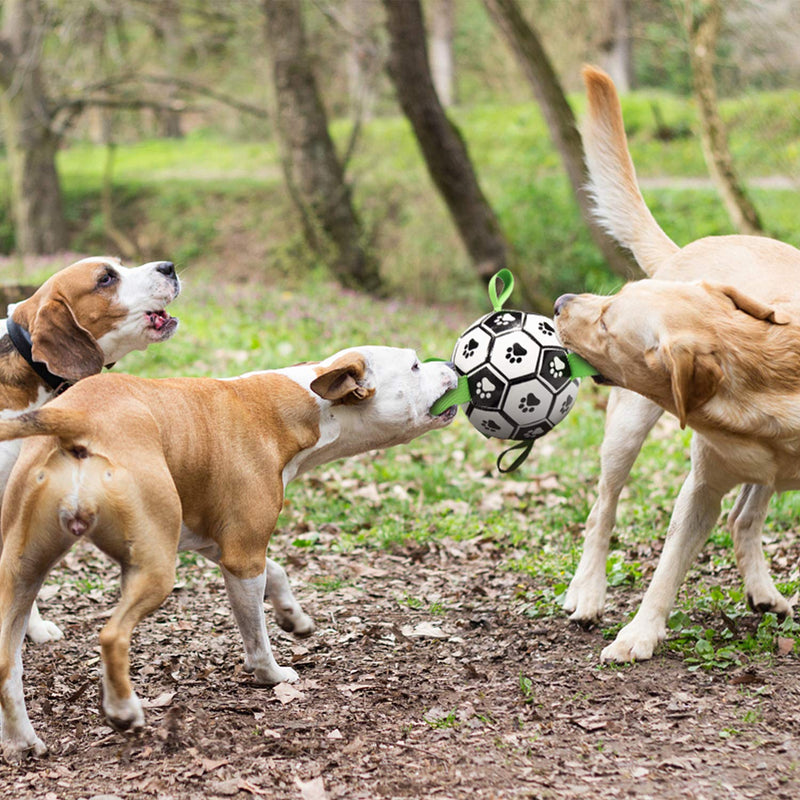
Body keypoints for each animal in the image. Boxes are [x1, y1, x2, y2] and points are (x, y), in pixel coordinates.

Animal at [0, 346, 456, 760]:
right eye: (415, 365)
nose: (452, 366)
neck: (296, 407)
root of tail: (78, 417)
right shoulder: (242, 558)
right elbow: (256, 635)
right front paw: (272, 675)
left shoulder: (221, 544)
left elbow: (278, 571)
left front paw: (294, 616)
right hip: (154, 568)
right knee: (112, 635)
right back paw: (124, 710)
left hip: (23, 571)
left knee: (8, 661)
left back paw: (24, 742)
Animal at [556, 280, 800, 664]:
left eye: (606, 324)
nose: (559, 302)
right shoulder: (701, 490)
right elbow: (667, 568)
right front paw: (637, 635)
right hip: (626, 430)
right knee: (601, 511)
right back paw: (588, 592)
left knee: (743, 518)